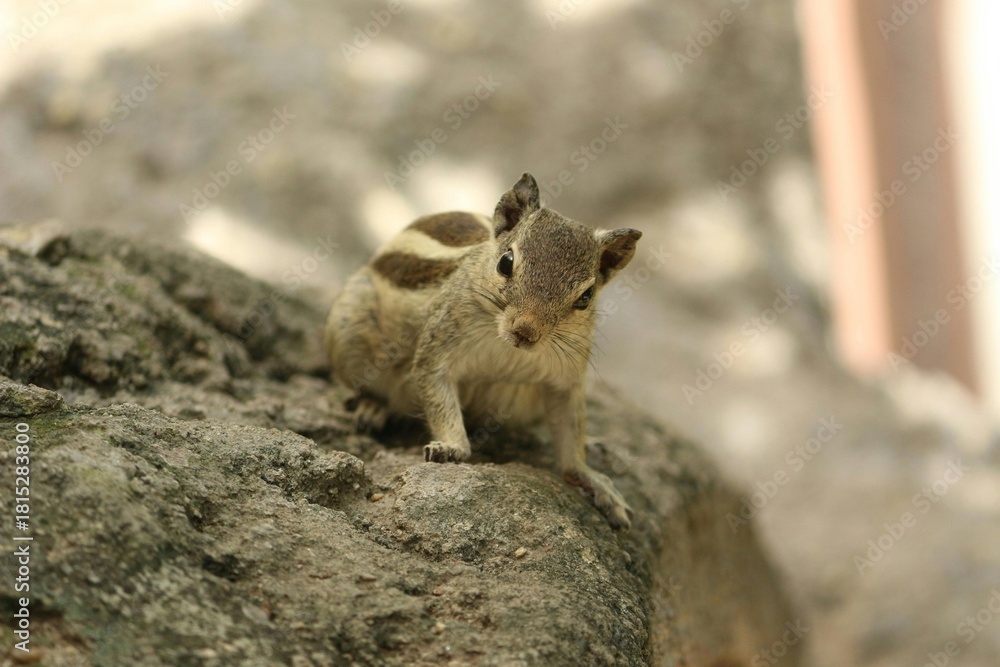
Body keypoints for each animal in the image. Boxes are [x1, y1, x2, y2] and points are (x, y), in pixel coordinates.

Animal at [324, 173, 641, 529]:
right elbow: (439, 395)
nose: (526, 331)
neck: (509, 349)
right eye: (506, 263)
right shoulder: (437, 348)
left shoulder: (566, 379)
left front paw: (593, 479)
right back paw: (372, 407)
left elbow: (570, 437)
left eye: (585, 297)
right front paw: (451, 448)